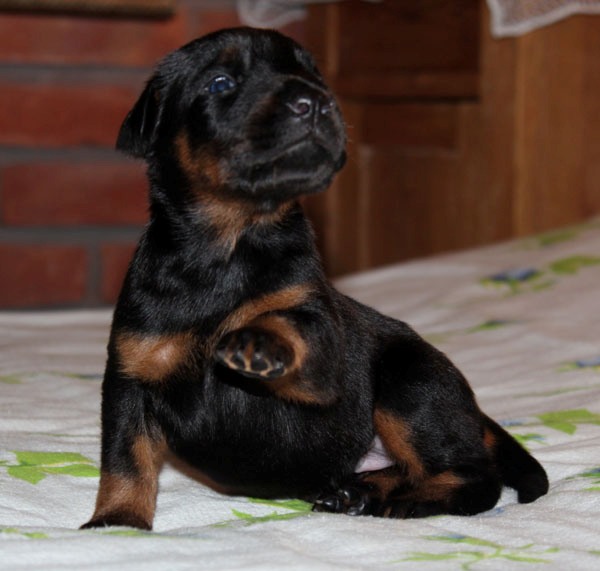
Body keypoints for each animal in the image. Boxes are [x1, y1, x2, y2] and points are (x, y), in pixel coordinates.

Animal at [82, 27, 548, 530]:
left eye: (313, 75)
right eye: (220, 82)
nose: (316, 102)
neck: (229, 244)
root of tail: (475, 413)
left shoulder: (321, 356)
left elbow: (293, 323)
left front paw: (257, 342)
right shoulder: (130, 374)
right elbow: (126, 458)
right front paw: (117, 522)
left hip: (412, 385)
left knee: (475, 477)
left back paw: (406, 502)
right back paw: (357, 493)